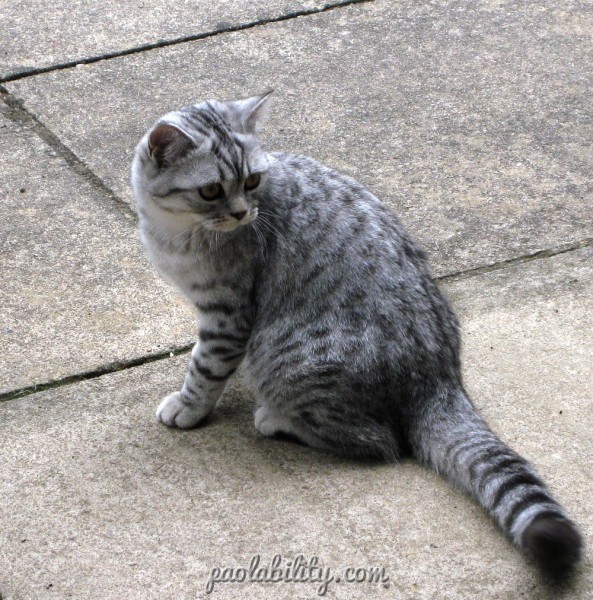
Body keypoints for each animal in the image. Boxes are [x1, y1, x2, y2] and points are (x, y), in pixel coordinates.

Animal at [131, 92, 582, 575]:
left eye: (252, 181)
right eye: (212, 190)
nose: (241, 213)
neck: (173, 229)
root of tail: (442, 378)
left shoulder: (228, 316)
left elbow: (205, 367)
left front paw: (189, 405)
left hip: (284, 358)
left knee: (380, 442)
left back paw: (278, 419)